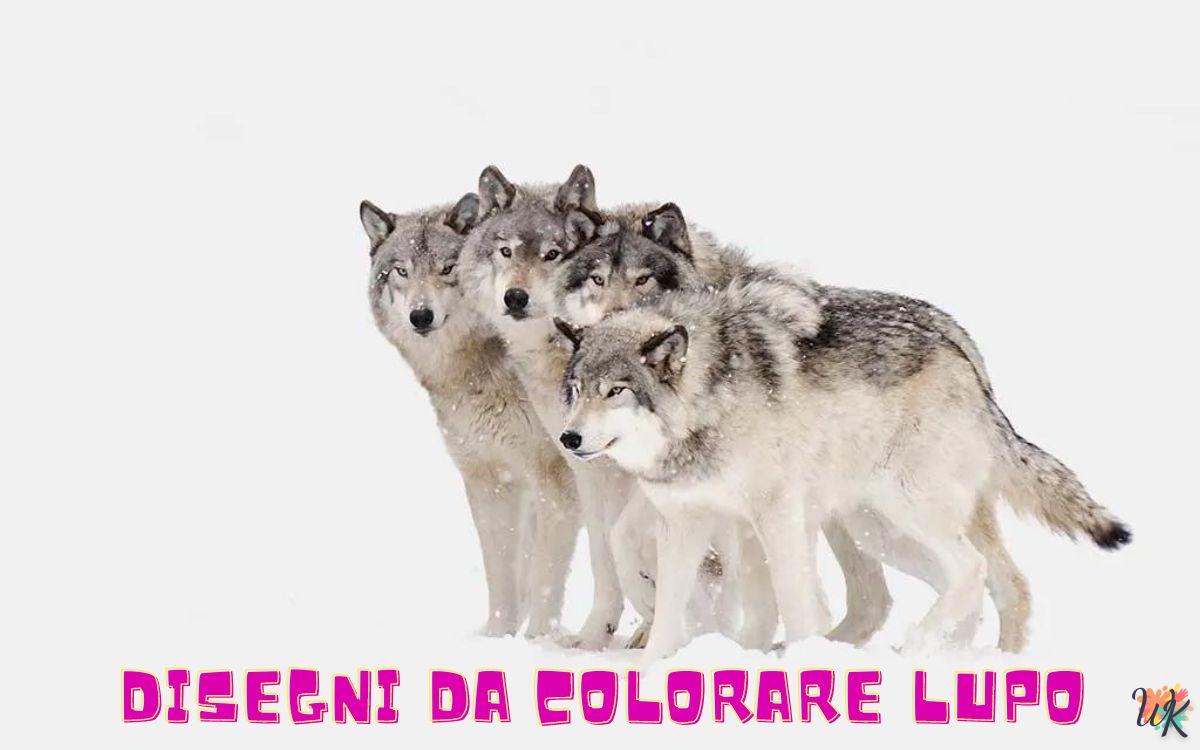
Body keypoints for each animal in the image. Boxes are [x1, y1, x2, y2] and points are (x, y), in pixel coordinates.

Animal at [361, 196, 580, 640]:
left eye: (447, 269)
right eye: (401, 271)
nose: (421, 316)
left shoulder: (555, 481)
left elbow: (543, 575)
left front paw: (537, 641)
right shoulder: (488, 479)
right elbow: (503, 572)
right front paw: (498, 637)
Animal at [556, 259, 1130, 661]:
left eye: (616, 391)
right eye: (577, 390)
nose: (569, 438)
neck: (707, 403)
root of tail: (965, 356)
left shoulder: (775, 516)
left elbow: (793, 599)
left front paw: (803, 663)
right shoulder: (687, 521)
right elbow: (672, 608)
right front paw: (656, 671)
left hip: (904, 509)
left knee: (972, 571)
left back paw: (917, 652)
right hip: (877, 531)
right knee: (982, 583)